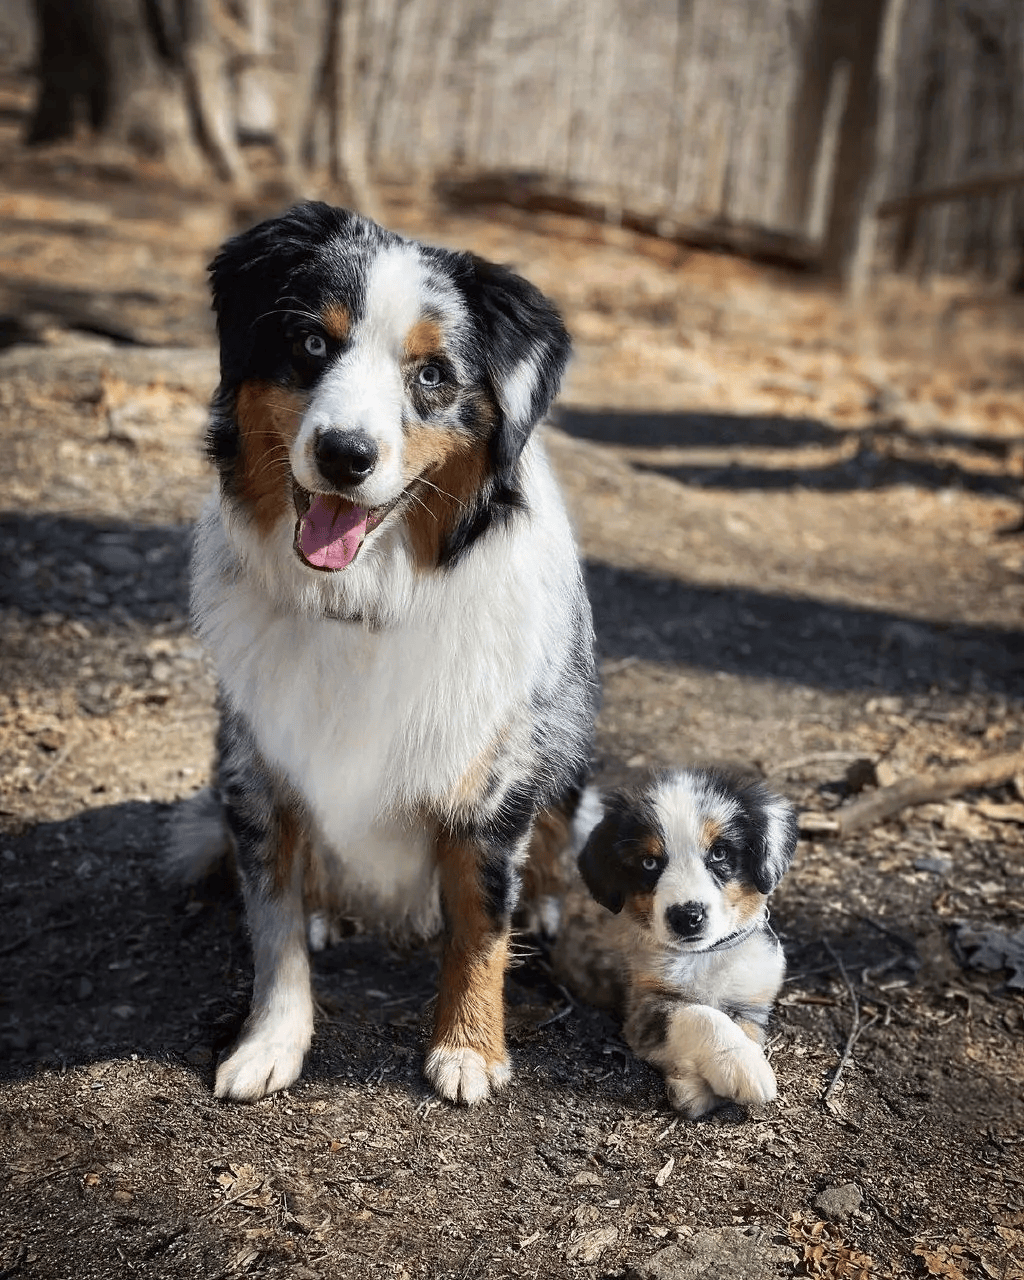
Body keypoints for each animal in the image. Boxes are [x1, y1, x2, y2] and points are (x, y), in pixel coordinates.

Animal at [172, 204, 596, 1105]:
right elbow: (273, 924)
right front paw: (270, 1042)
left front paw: (469, 1049)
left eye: (432, 374)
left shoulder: (494, 778)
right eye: (311, 343)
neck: (364, 600)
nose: (344, 454)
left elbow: (480, 920)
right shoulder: (254, 765)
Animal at [555, 762, 793, 1116]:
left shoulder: (751, 1000)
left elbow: (743, 1027)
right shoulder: (645, 1007)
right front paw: (738, 1066)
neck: (704, 955)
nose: (686, 917)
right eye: (649, 862)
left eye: (719, 853)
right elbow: (699, 1015)